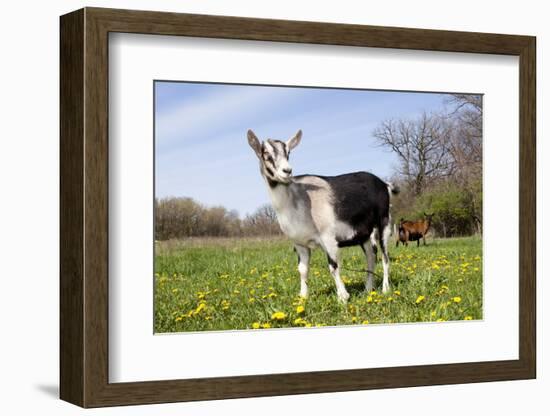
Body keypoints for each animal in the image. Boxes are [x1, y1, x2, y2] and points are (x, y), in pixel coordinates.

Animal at [248, 130, 398, 302]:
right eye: (265, 154)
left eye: (288, 153)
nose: (287, 171)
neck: (297, 200)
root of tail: (384, 185)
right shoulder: (300, 244)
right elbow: (302, 269)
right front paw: (303, 297)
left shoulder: (328, 238)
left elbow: (333, 266)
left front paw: (343, 297)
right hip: (365, 235)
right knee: (371, 258)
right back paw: (368, 289)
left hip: (384, 223)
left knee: (385, 257)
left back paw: (385, 289)